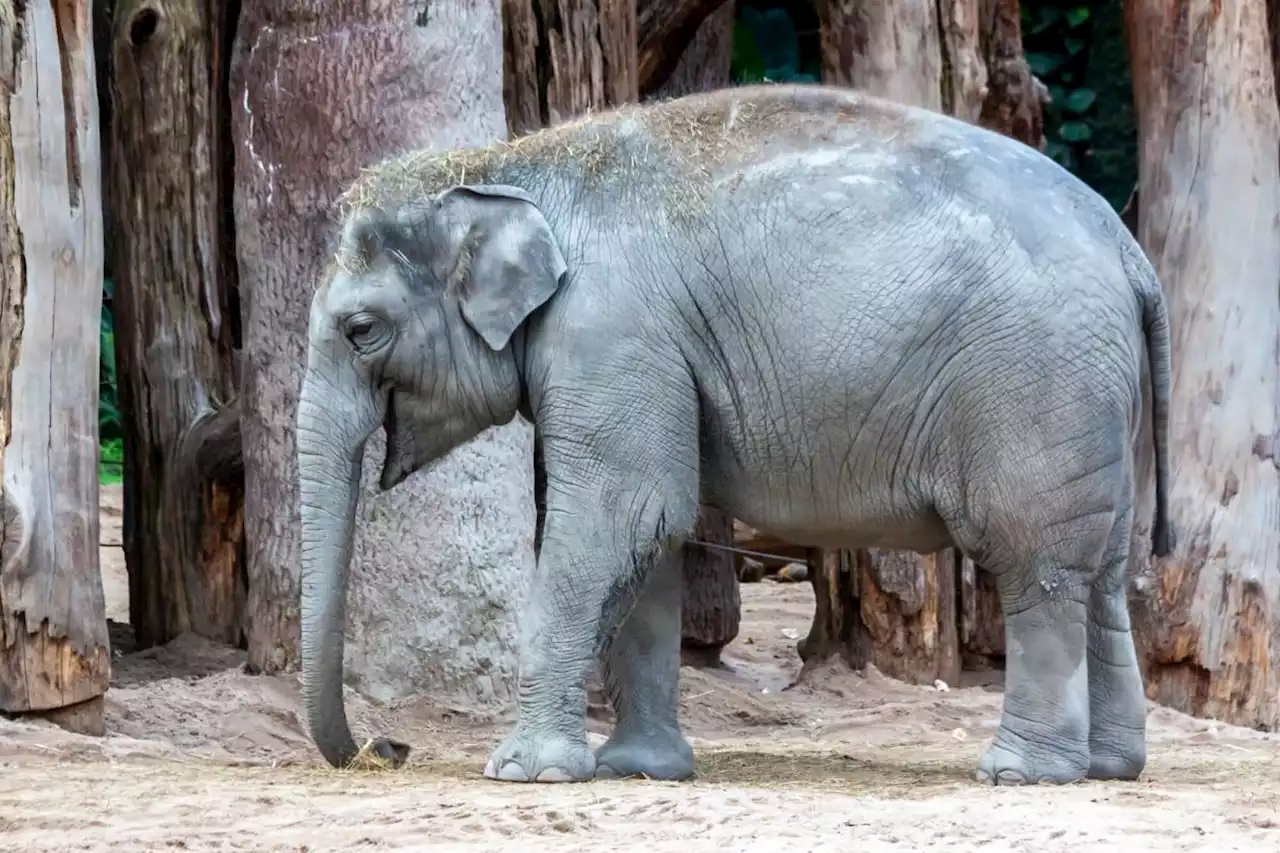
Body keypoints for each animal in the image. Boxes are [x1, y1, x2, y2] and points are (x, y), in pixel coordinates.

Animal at [294, 83, 1172, 788]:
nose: (385, 746)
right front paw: (637, 770)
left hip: (1039, 386)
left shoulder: (610, 332)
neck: (511, 161)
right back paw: (1108, 766)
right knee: (1103, 572)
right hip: (1098, 403)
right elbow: (651, 536)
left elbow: (620, 515)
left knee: (1038, 564)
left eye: (361, 330)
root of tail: (1128, 248)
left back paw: (1019, 773)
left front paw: (524, 772)